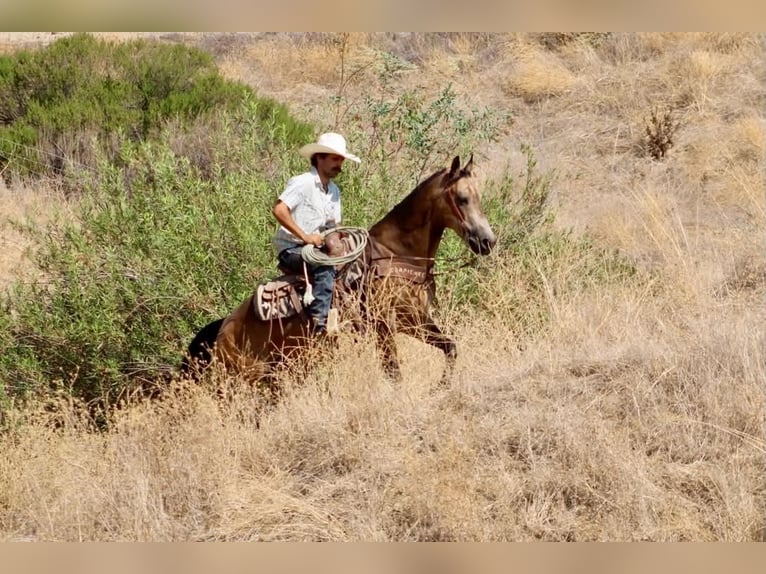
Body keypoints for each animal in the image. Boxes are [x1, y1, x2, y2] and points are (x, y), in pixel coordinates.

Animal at [181, 155, 496, 385]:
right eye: (462, 199)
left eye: (478, 197)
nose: (487, 241)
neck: (396, 254)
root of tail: (222, 329)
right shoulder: (383, 325)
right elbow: (393, 372)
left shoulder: (413, 320)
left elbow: (450, 347)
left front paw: (441, 386)